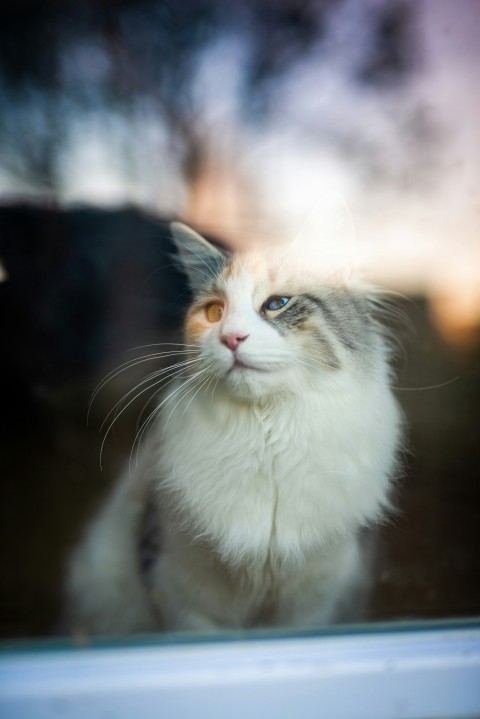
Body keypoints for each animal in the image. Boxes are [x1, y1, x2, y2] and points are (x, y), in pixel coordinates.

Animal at [65, 221, 404, 636]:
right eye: (215, 312)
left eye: (277, 304)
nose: (231, 338)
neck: (265, 436)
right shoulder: (182, 597)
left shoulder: (311, 605)